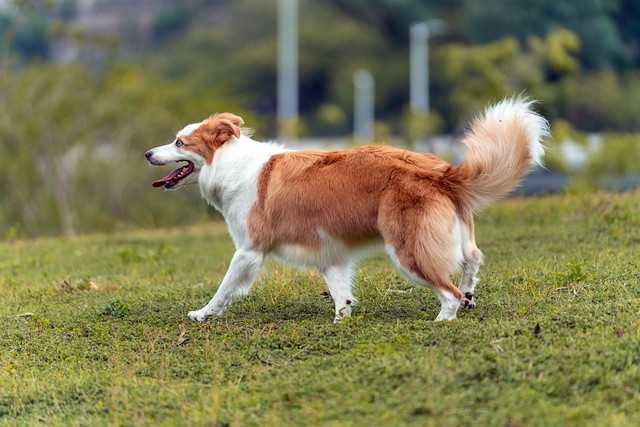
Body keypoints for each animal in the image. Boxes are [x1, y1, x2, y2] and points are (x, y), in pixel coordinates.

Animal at [145, 97, 548, 322]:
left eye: (179, 142)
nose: (148, 153)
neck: (230, 163)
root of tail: (439, 170)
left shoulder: (248, 251)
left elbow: (224, 288)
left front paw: (202, 314)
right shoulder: (330, 252)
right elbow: (341, 293)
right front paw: (343, 320)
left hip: (408, 249)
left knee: (447, 290)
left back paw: (441, 320)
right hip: (453, 234)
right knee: (472, 260)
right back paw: (468, 297)